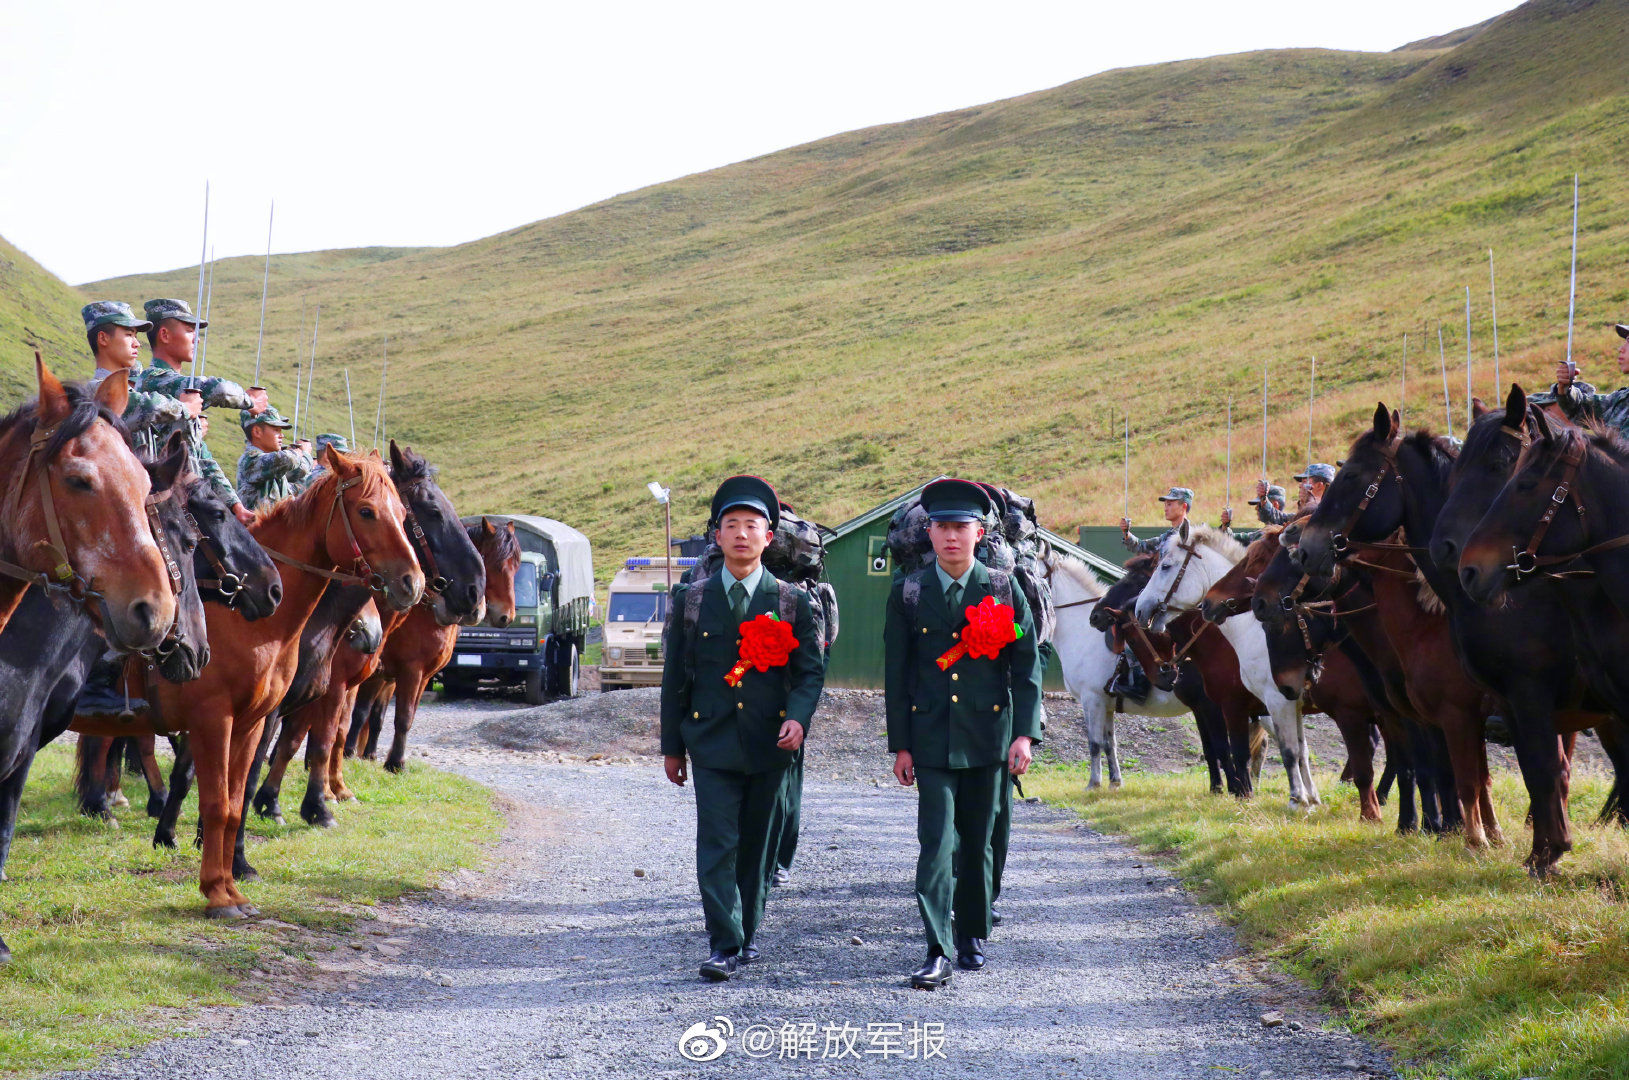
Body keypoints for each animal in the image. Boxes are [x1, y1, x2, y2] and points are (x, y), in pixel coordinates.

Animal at [73, 446, 423, 912]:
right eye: (367, 511)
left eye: (402, 513)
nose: (412, 582)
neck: (250, 625)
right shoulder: (215, 721)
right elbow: (216, 797)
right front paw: (217, 881)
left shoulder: (253, 721)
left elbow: (236, 799)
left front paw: (230, 872)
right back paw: (105, 806)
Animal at [1042, 553, 1198, 791]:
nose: (1095, 617)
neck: (1081, 634)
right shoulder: (1106, 704)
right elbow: (1109, 743)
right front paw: (1115, 781)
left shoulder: (1092, 700)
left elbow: (1094, 743)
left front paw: (1093, 783)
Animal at [1133, 521, 1322, 807]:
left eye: (1165, 566)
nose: (1140, 610)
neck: (1252, 631)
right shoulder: (1291, 705)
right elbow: (1300, 750)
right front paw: (1311, 798)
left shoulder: (1255, 704)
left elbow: (1265, 752)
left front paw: (1281, 798)